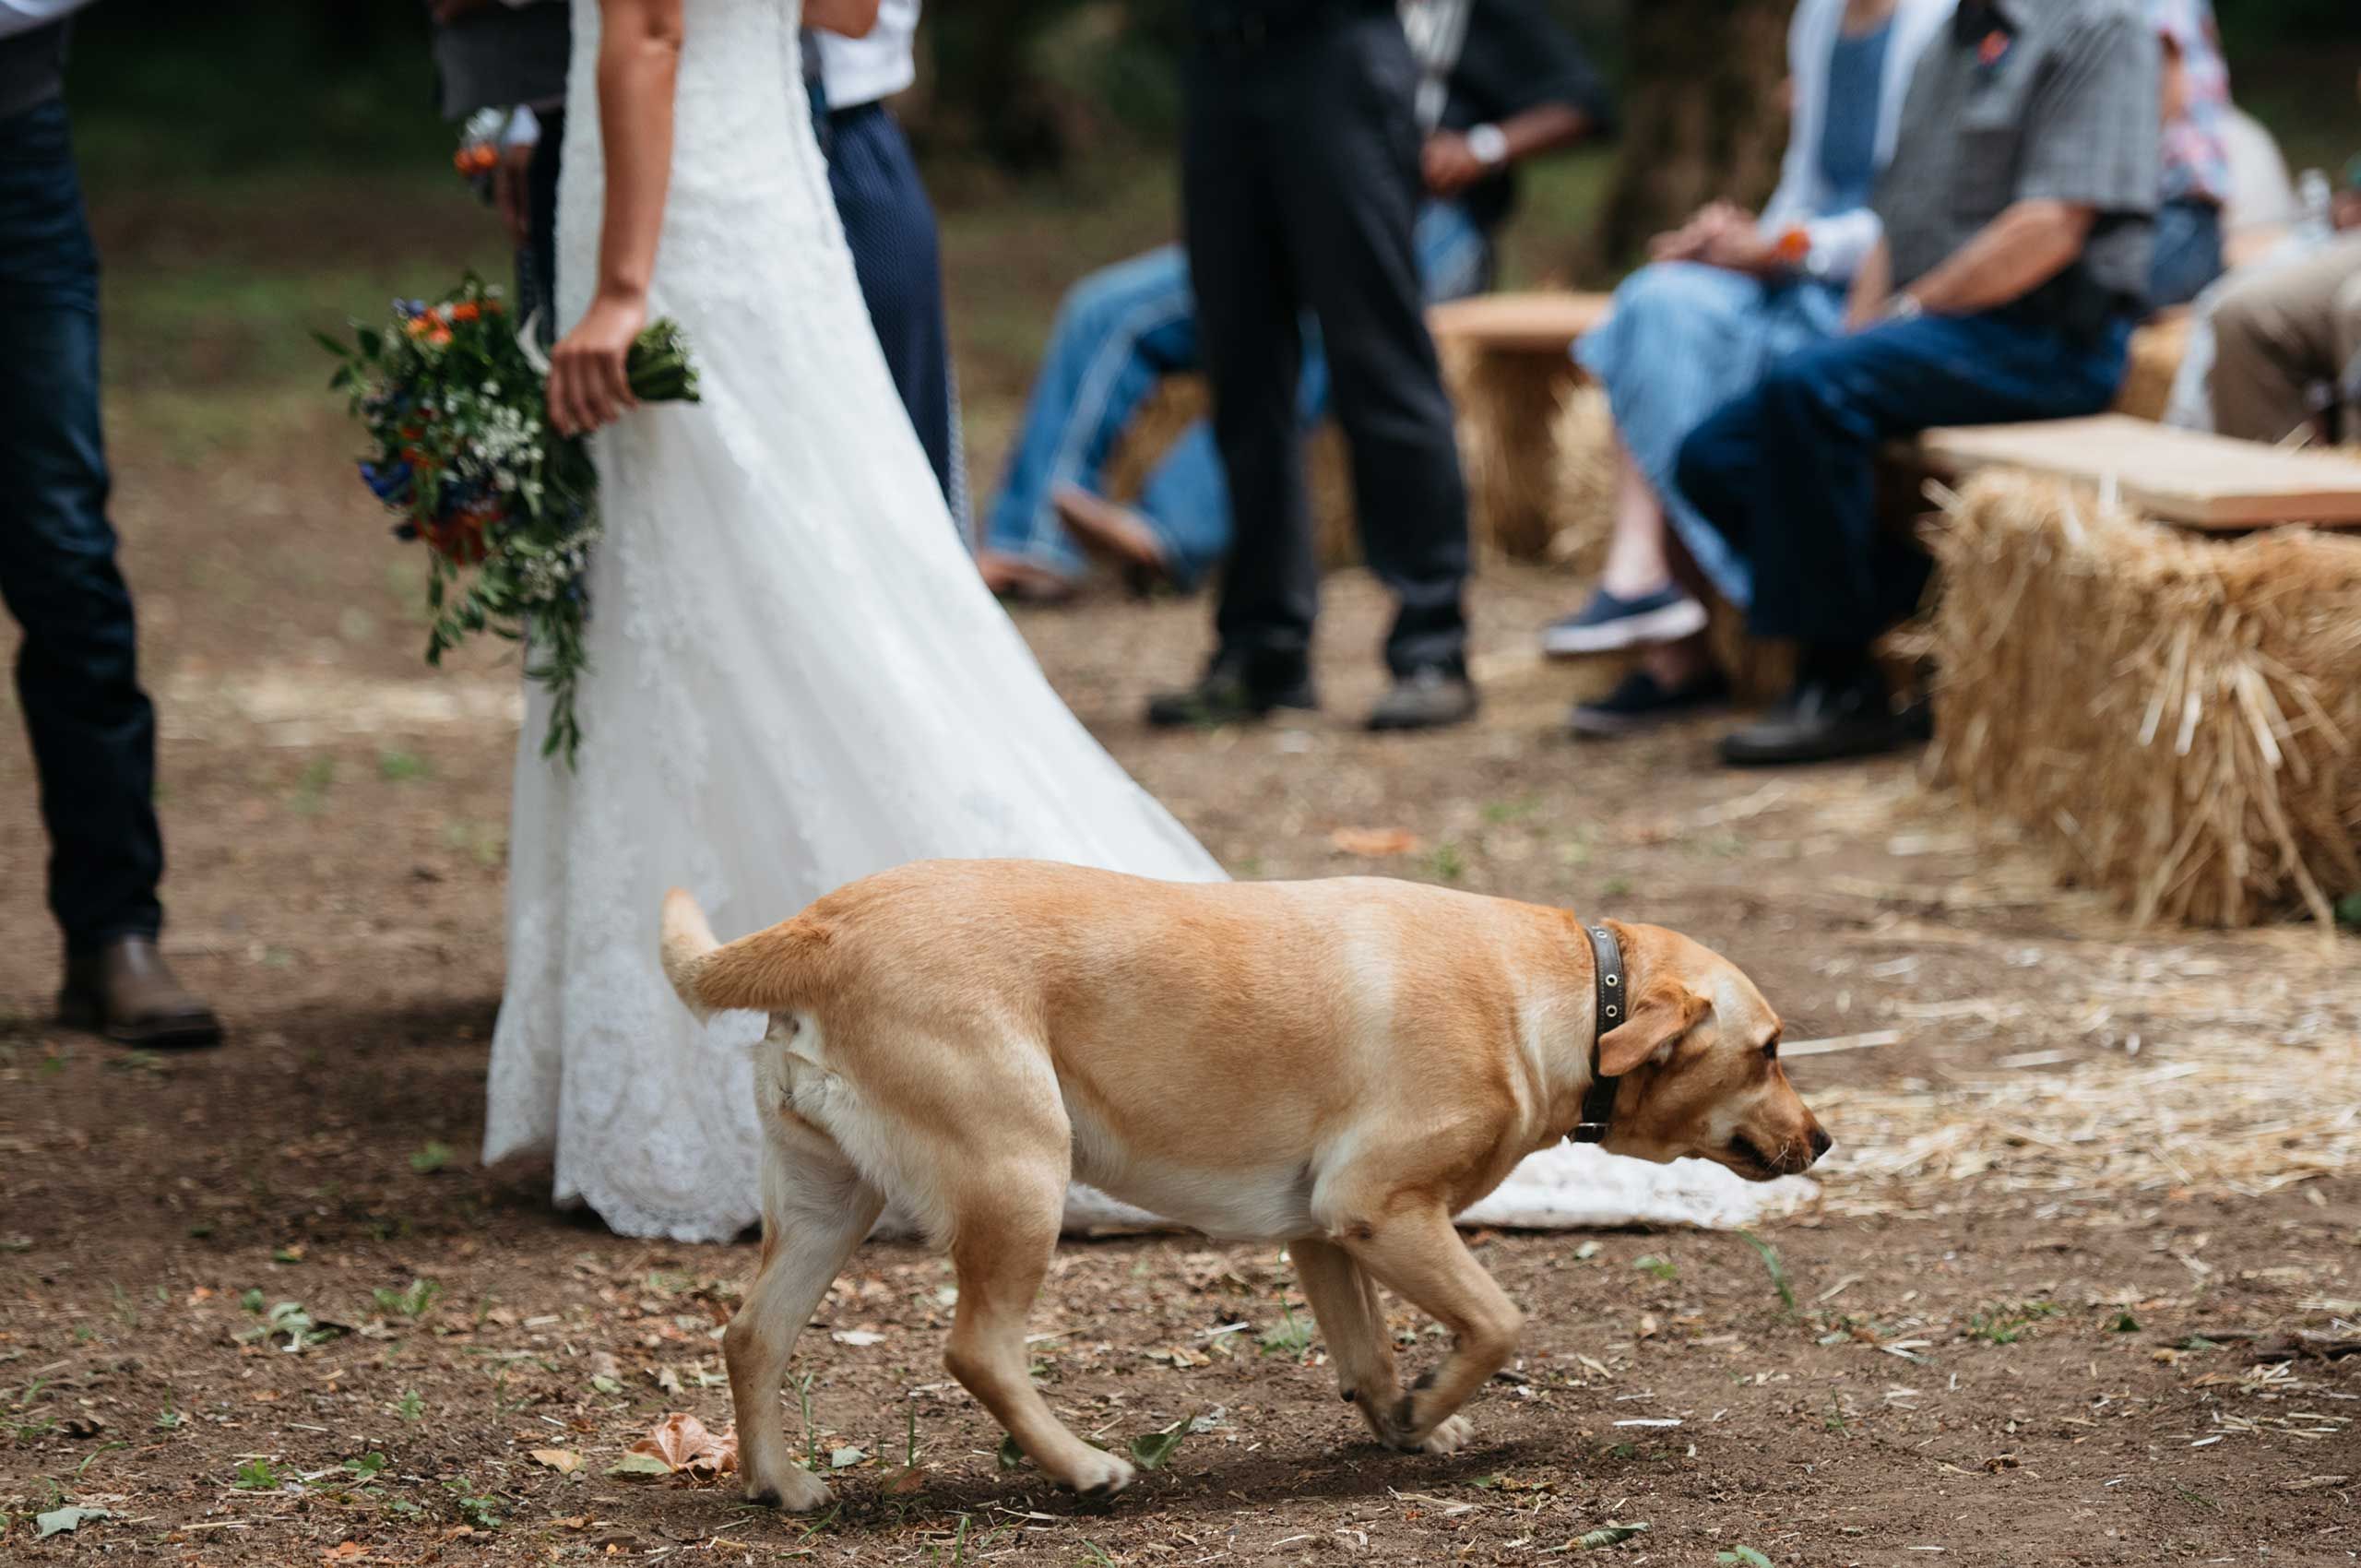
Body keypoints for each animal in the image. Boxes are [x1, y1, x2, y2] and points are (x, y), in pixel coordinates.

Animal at [656, 859, 1832, 1511]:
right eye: (1770, 1049)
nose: (1823, 1140)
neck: (1574, 993)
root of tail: (820, 925)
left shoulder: (1323, 1229)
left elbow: (1369, 1350)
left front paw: (1404, 1420)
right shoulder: (1379, 1206)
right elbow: (1500, 1322)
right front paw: (1432, 1403)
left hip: (829, 1202)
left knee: (751, 1334)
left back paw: (781, 1485)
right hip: (1019, 1173)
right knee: (977, 1349)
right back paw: (1084, 1469)